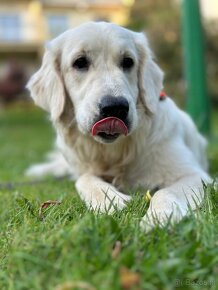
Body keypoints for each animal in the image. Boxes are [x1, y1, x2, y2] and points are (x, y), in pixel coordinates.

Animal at [26, 22, 211, 231]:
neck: (115, 152)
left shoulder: (195, 175)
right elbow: (84, 179)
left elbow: (164, 192)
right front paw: (110, 201)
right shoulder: (84, 170)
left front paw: (159, 218)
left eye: (128, 62)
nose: (115, 107)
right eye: (80, 62)